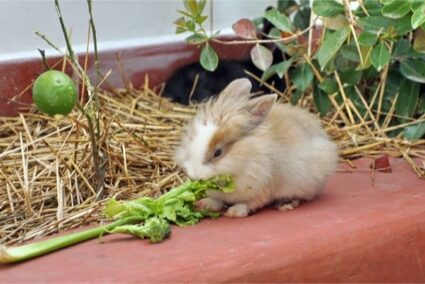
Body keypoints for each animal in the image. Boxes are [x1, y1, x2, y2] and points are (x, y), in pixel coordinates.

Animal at [174, 78, 336, 217]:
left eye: (218, 152)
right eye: (191, 139)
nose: (194, 175)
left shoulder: (262, 188)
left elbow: (252, 203)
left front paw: (235, 212)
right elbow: (217, 199)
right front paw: (204, 204)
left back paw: (286, 204)